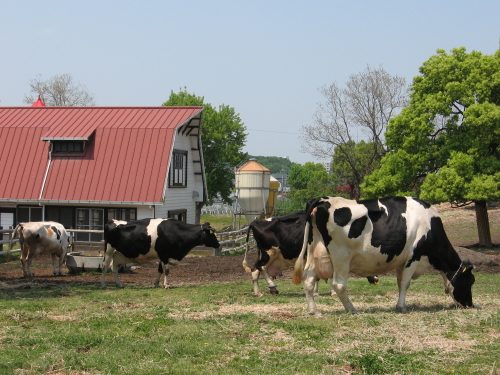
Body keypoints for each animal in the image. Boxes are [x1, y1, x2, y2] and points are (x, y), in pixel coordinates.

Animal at [242, 213, 378, 298]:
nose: (377, 279)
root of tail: (256, 221)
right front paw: (333, 292)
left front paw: (316, 292)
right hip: (269, 253)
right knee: (261, 268)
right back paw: (272, 286)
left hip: (267, 254)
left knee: (255, 270)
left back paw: (259, 292)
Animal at [294, 197, 474, 318]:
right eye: (470, 281)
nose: (470, 305)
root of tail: (323, 199)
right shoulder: (413, 256)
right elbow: (405, 283)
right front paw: (401, 307)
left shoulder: (402, 261)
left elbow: (400, 282)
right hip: (341, 256)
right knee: (338, 285)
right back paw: (352, 309)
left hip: (314, 252)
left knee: (309, 281)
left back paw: (314, 311)